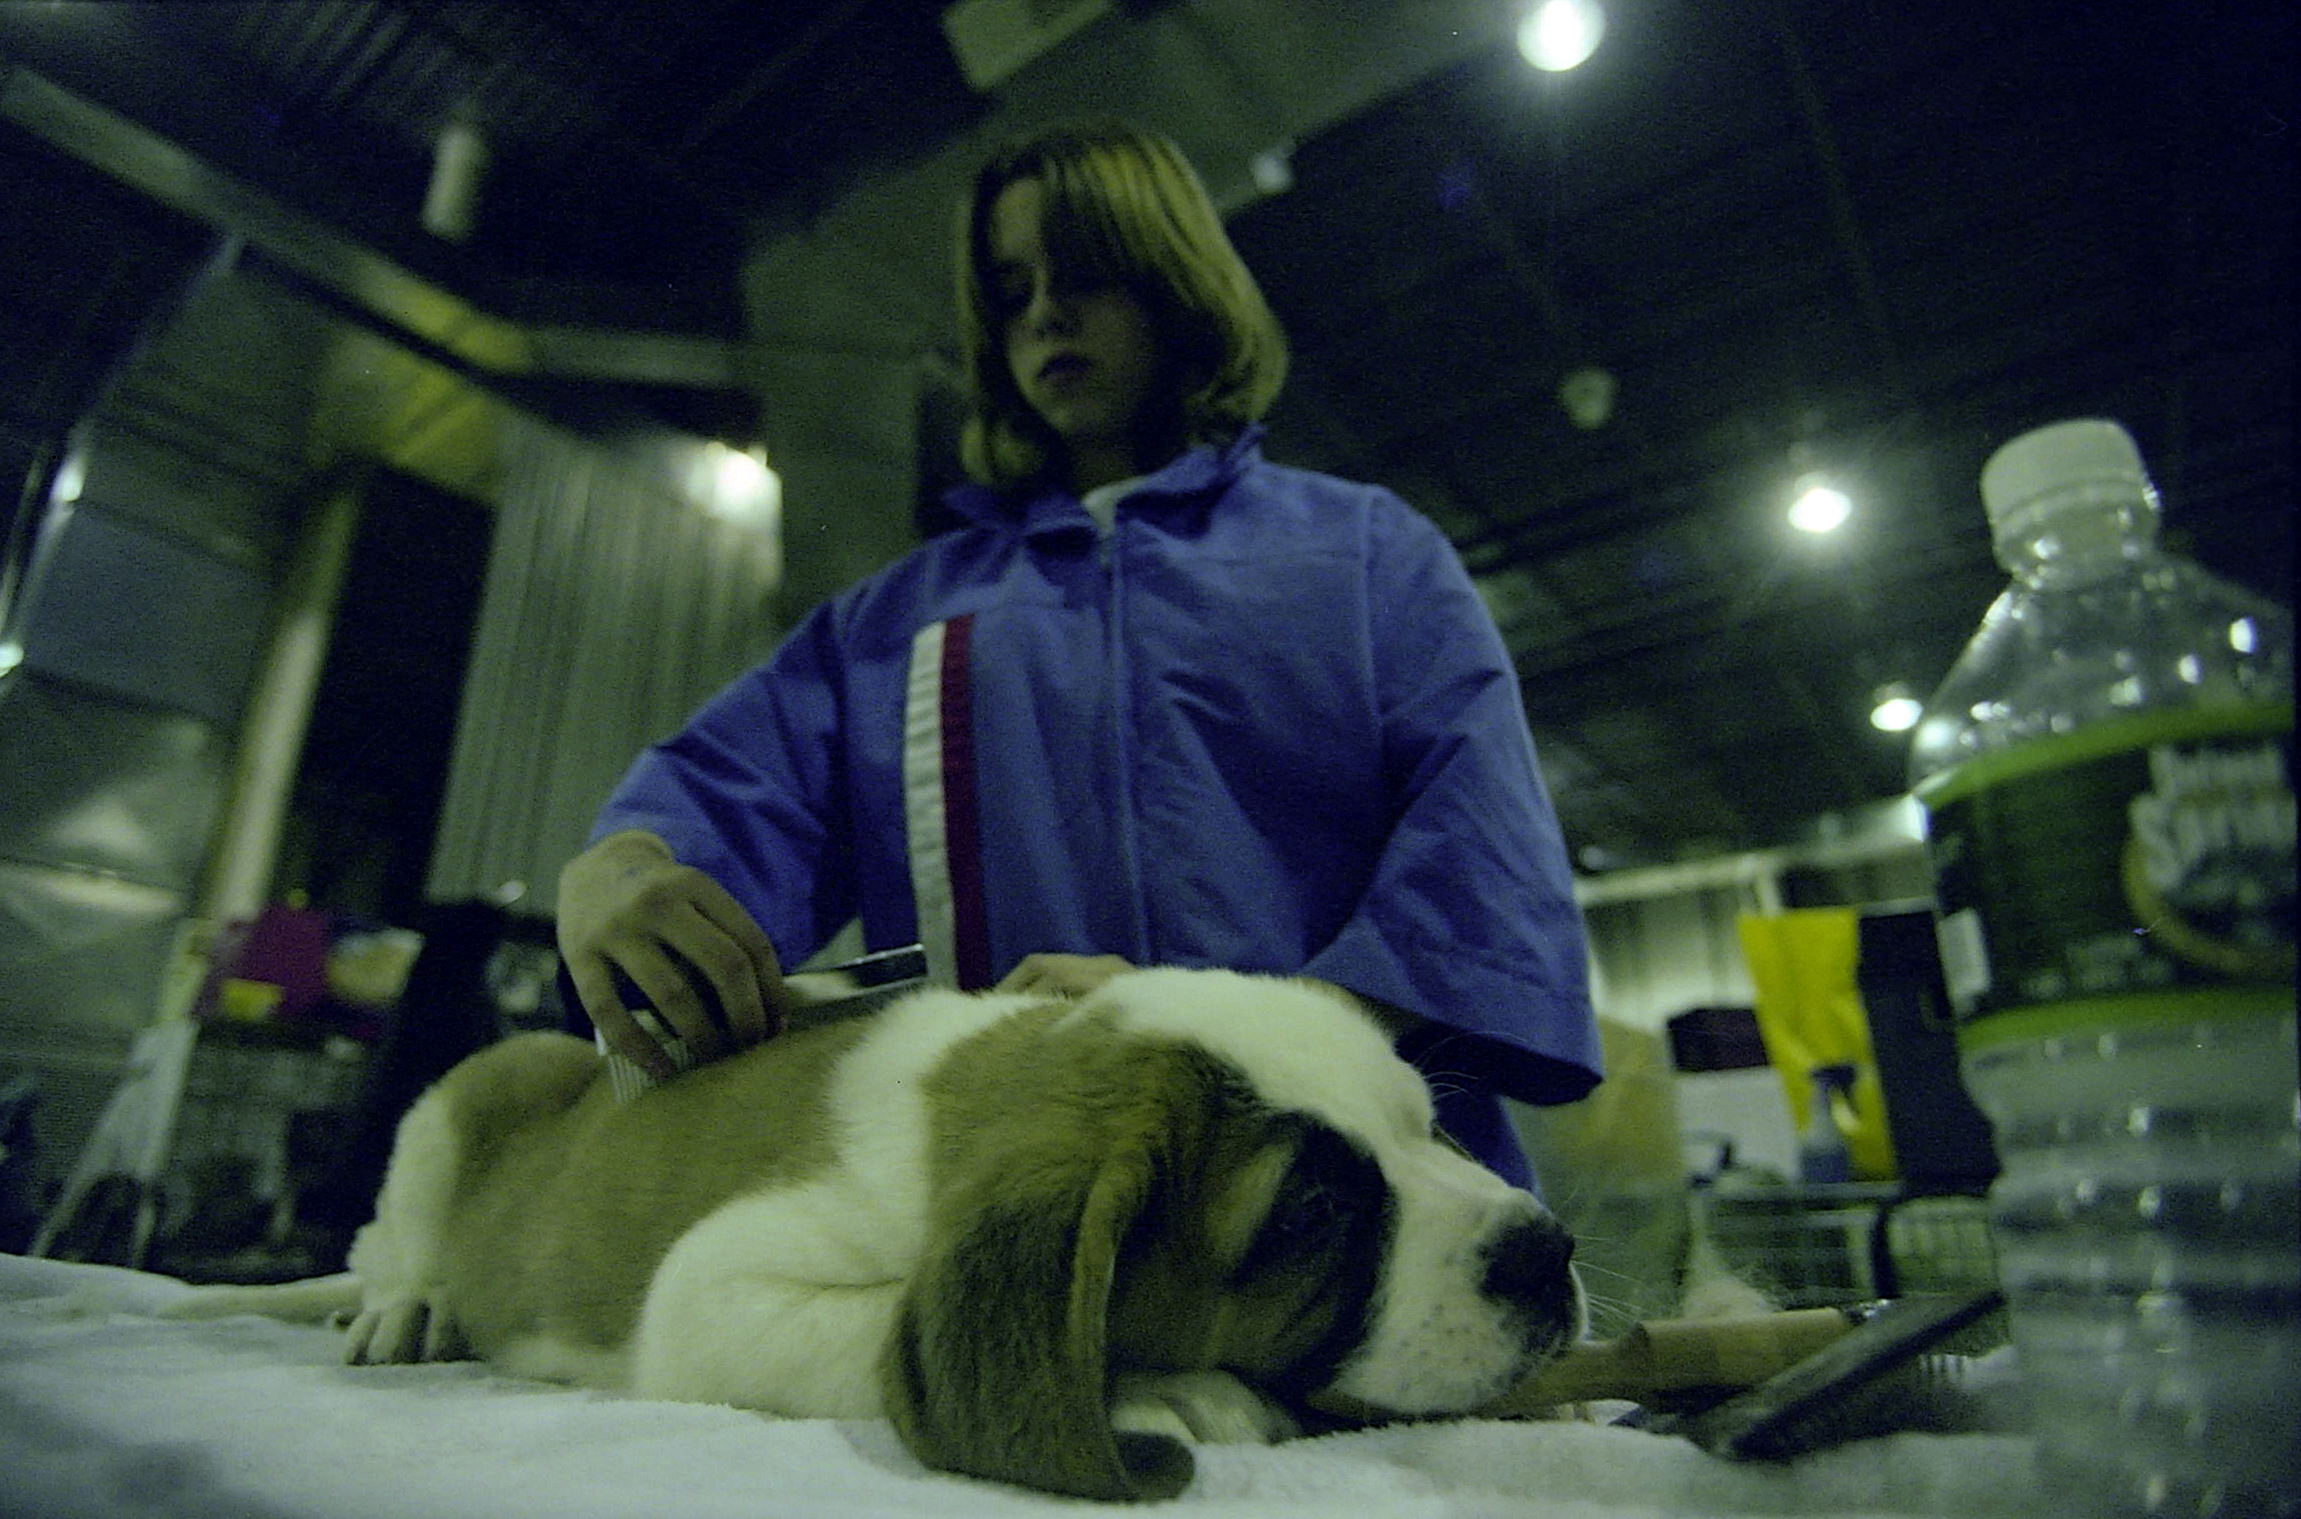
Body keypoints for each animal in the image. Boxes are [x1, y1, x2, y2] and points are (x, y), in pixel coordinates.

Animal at [167, 968, 1584, 1500]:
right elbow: (871, 1334)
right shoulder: (713, 1296)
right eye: (1315, 1212)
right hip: (481, 1080)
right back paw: (409, 1306)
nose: (1546, 1253)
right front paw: (1175, 1389)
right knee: (388, 1244)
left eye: (1432, 1131)